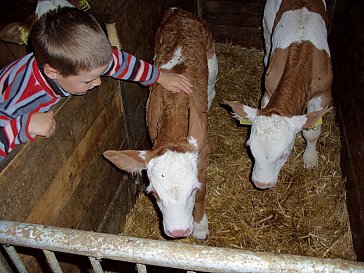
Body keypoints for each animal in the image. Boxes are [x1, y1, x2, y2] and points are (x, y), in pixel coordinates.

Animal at [103, 7, 216, 238]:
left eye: (192, 189)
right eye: (154, 194)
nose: (178, 232)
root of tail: (180, 12)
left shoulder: (203, 152)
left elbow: (204, 191)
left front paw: (201, 227)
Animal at [223, 0, 332, 188]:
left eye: (284, 154)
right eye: (250, 148)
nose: (261, 184)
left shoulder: (323, 95)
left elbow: (312, 133)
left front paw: (310, 159)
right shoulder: (268, 91)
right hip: (267, 25)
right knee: (267, 48)